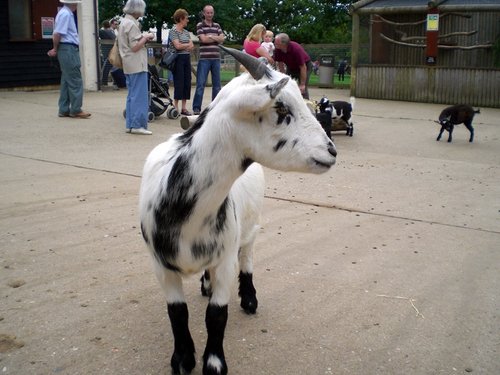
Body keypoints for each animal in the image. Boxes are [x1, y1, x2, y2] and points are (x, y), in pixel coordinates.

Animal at [139, 46, 338, 375]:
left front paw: (213, 364)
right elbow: (177, 313)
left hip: (251, 228)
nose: (332, 151)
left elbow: (217, 315)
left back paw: (249, 299)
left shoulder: (226, 258)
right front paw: (182, 359)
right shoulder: (160, 265)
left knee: (248, 259)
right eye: (282, 110)